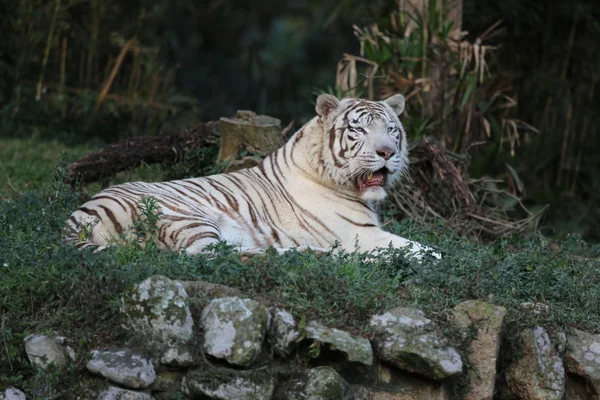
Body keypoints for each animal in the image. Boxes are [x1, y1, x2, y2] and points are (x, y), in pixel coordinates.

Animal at [65, 95, 440, 260]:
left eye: (391, 129)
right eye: (358, 129)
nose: (387, 153)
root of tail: (76, 217)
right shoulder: (360, 233)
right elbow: (427, 250)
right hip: (185, 216)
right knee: (210, 255)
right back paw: (313, 253)